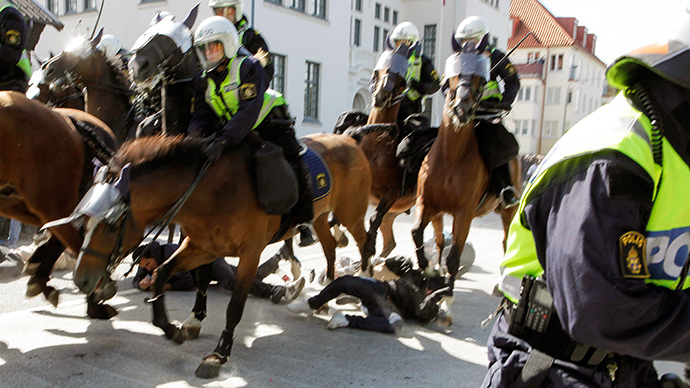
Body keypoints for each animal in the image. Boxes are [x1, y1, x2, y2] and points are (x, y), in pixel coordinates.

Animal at [66, 133, 370, 378]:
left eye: (111, 225)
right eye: (84, 222)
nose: (81, 280)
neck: (213, 190)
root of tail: (349, 140)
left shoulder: (250, 253)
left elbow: (234, 305)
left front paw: (218, 354)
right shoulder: (202, 247)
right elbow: (162, 274)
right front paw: (173, 327)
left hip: (351, 213)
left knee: (365, 243)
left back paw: (364, 286)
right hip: (320, 217)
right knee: (330, 247)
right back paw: (325, 296)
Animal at [412, 41, 520, 296]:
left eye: (481, 76)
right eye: (455, 70)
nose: (463, 108)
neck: (451, 157)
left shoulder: (464, 213)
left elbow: (455, 256)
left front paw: (447, 291)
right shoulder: (427, 203)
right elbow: (417, 232)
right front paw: (427, 269)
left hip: (508, 211)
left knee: (505, 242)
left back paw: (501, 285)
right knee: (439, 240)